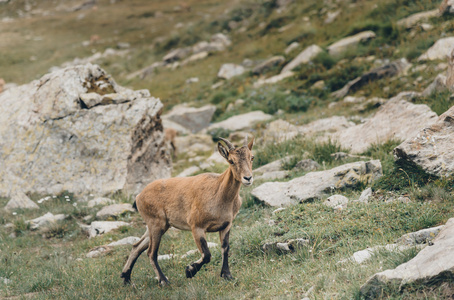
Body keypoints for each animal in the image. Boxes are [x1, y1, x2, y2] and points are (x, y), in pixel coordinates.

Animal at [120, 136, 255, 284]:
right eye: (231, 161)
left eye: (252, 157)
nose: (248, 178)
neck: (219, 193)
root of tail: (139, 196)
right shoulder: (197, 226)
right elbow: (206, 254)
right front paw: (190, 270)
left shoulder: (226, 225)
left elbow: (225, 248)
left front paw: (227, 275)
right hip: (156, 224)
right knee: (151, 252)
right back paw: (164, 281)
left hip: (159, 225)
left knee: (137, 246)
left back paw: (126, 278)